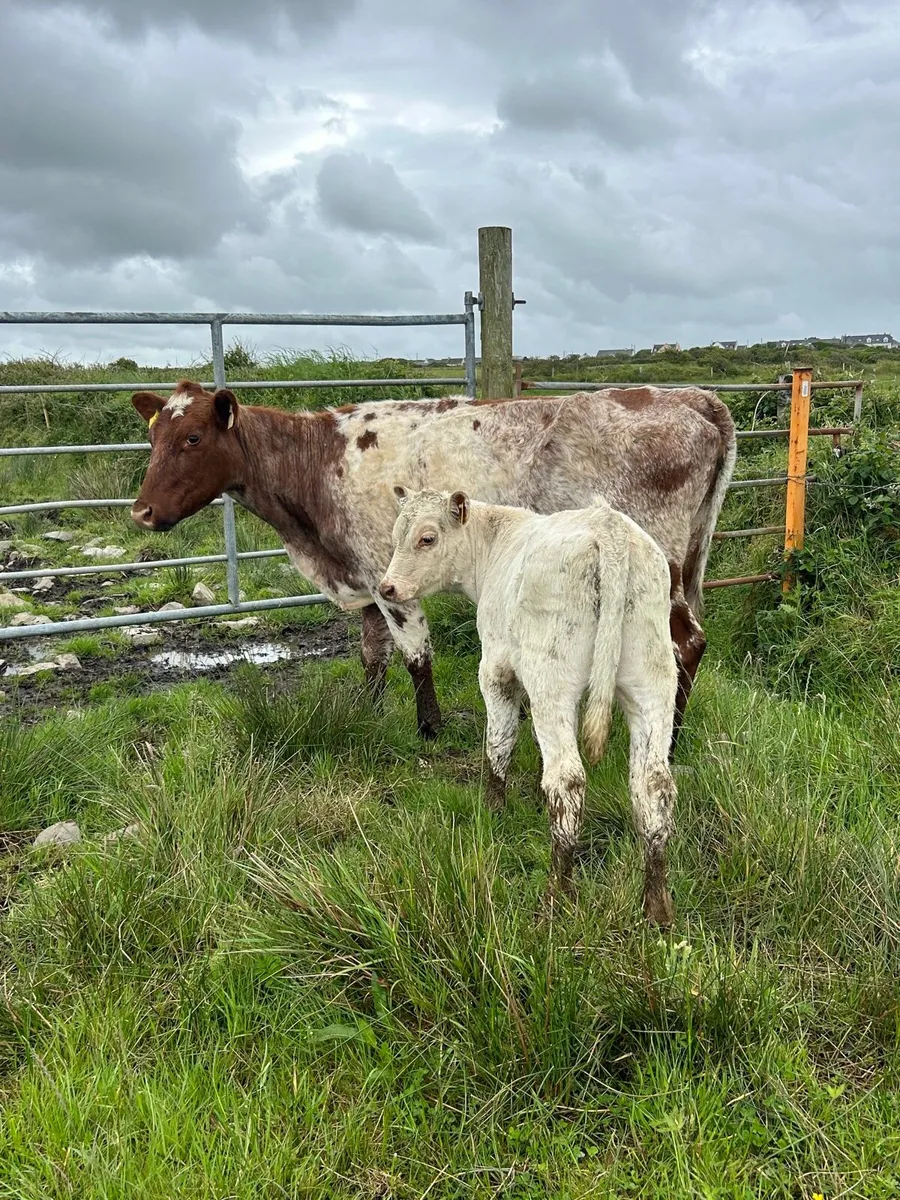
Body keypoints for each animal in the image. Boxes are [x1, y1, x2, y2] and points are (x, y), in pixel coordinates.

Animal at [129, 380, 736, 745]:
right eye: (153, 436)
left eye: (193, 437)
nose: (141, 511)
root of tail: (691, 398)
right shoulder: (363, 575)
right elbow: (372, 656)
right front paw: (369, 710)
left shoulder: (389, 579)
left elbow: (416, 655)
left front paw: (429, 728)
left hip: (660, 567)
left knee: (685, 644)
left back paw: (670, 738)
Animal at [379, 487, 678, 924]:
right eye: (396, 535)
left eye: (427, 538)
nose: (387, 588)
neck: (494, 546)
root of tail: (608, 527)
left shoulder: (496, 669)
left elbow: (499, 742)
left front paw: (493, 809)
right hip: (652, 681)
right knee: (652, 785)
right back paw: (656, 908)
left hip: (550, 678)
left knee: (567, 780)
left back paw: (557, 897)